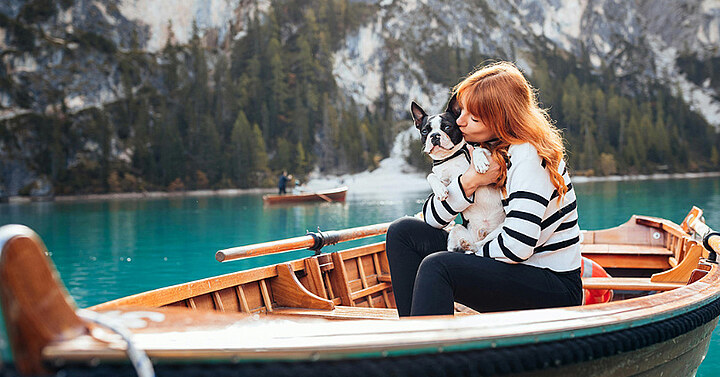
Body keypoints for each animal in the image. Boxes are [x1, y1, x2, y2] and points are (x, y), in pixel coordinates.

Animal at [410, 94, 506, 253]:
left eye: (447, 127)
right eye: (425, 131)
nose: (434, 135)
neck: (451, 156)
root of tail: (481, 233)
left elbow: (478, 149)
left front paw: (480, 163)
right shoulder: (445, 178)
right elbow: (431, 176)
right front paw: (440, 191)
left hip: (501, 228)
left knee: (482, 244)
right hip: (456, 231)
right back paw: (465, 245)